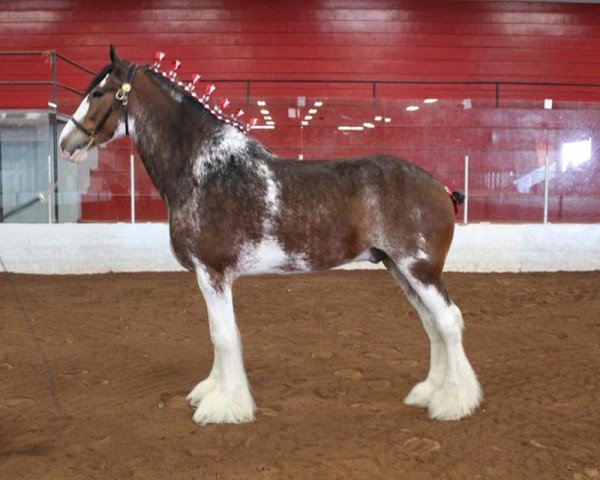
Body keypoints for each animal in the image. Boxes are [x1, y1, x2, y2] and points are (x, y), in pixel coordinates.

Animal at [58, 47, 482, 426]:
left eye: (98, 93)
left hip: (420, 270)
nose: (65, 143)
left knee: (448, 322)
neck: (204, 168)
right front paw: (214, 392)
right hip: (399, 269)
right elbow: (220, 335)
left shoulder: (213, 273)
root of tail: (441, 188)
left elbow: (223, 336)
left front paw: (225, 408)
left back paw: (454, 403)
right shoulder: (210, 277)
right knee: (432, 325)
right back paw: (430, 392)